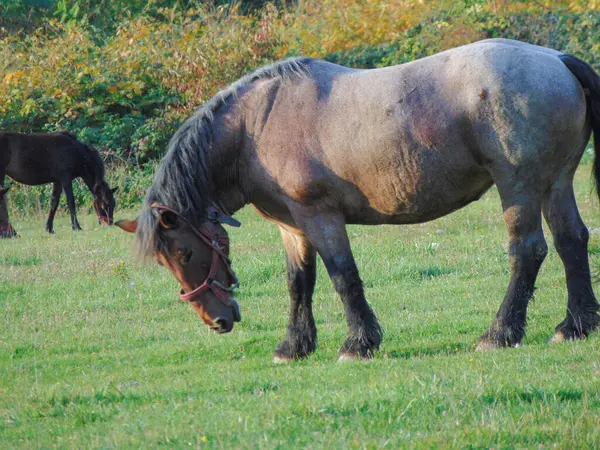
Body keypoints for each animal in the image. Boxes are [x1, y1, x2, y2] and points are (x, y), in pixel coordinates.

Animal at [116, 38, 600, 362]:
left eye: (183, 252)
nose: (217, 321)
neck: (256, 127)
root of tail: (555, 59)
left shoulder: (320, 217)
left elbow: (342, 277)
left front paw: (358, 343)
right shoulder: (292, 227)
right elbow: (299, 283)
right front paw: (294, 346)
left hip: (518, 186)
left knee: (527, 251)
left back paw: (499, 334)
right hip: (555, 183)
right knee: (571, 241)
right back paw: (575, 326)